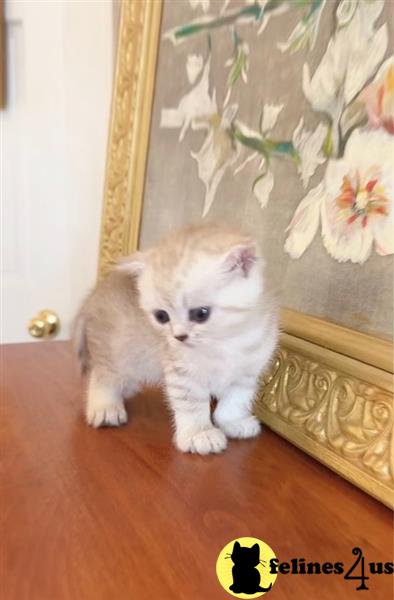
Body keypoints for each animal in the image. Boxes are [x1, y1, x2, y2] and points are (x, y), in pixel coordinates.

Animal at [72, 225, 278, 454]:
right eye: (161, 316)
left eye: (201, 314)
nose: (179, 336)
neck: (225, 342)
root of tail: (93, 295)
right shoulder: (183, 373)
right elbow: (192, 404)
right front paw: (200, 434)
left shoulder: (247, 372)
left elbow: (236, 400)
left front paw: (233, 422)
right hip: (114, 352)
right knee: (102, 376)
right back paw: (105, 406)